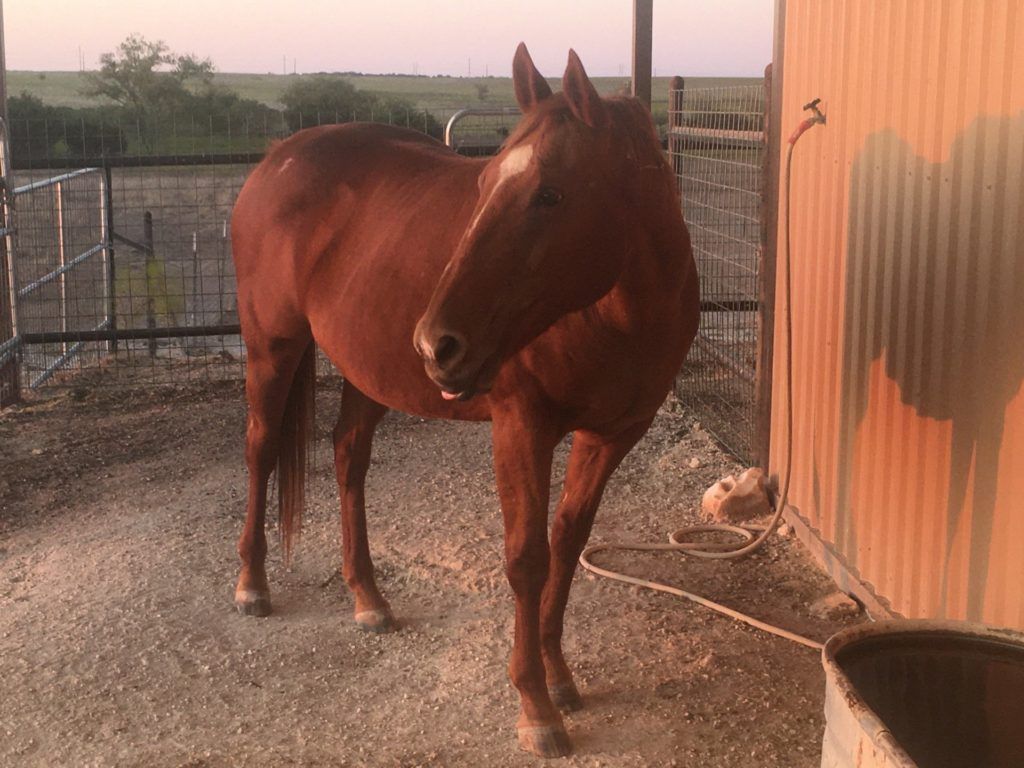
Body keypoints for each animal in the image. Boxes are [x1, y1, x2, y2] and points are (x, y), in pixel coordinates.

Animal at [230, 43, 699, 758]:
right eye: (481, 189)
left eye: (550, 194)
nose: (435, 344)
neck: (620, 314)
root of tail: (276, 159)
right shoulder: (521, 427)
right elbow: (526, 557)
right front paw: (536, 706)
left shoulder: (613, 434)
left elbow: (567, 541)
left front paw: (559, 675)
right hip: (272, 347)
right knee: (260, 449)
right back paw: (252, 585)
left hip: (369, 371)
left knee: (347, 457)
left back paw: (368, 597)